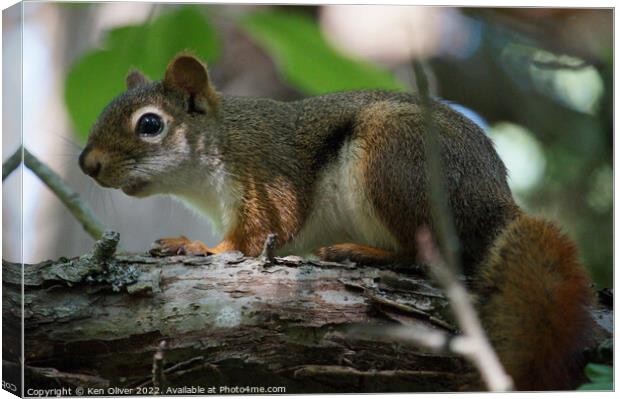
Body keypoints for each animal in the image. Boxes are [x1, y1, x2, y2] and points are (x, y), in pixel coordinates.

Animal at [80, 53, 592, 390]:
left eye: (150, 125)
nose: (87, 164)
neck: (221, 146)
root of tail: (496, 206)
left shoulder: (267, 175)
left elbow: (259, 234)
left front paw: (200, 247)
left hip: (397, 157)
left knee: (424, 256)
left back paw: (360, 251)